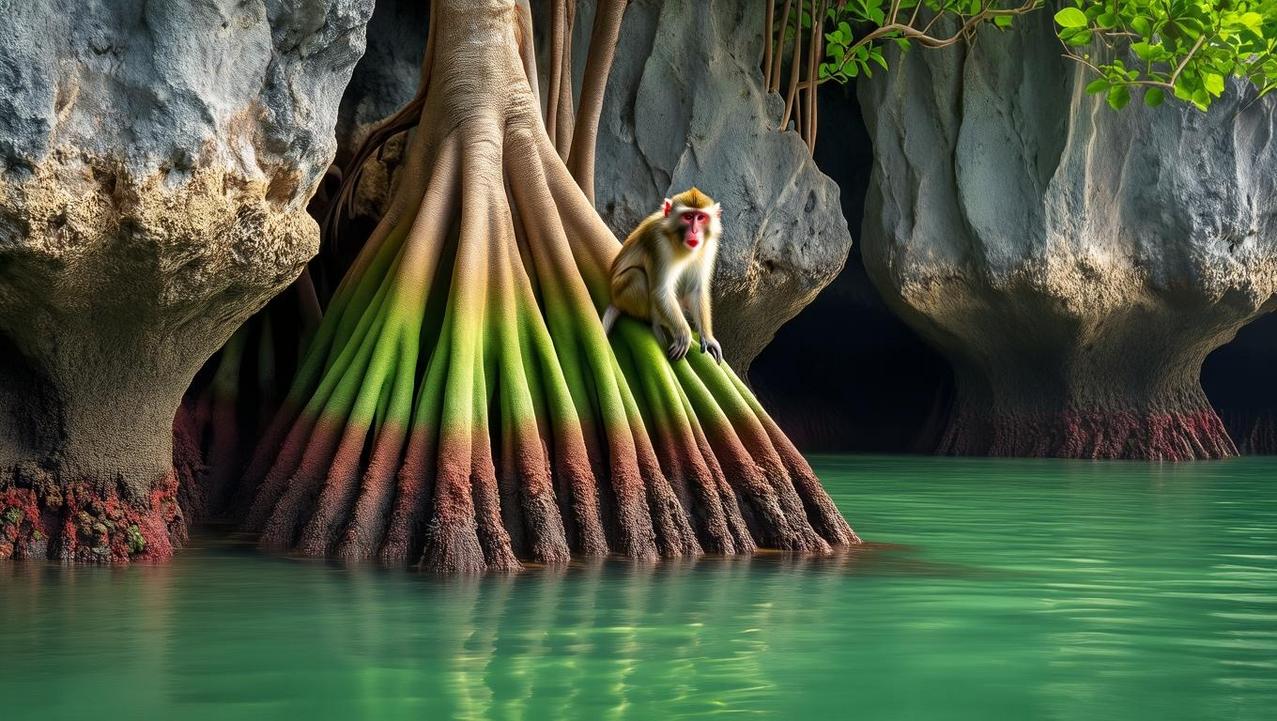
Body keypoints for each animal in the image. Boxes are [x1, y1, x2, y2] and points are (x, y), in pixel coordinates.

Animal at [601, 187, 723, 363]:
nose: (694, 232)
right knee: (637, 275)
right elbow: (661, 291)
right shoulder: (658, 241)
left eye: (701, 217)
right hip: (621, 294)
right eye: (688, 216)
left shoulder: (708, 246)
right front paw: (684, 334)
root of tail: (614, 299)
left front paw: (708, 338)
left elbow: (695, 290)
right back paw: (656, 322)